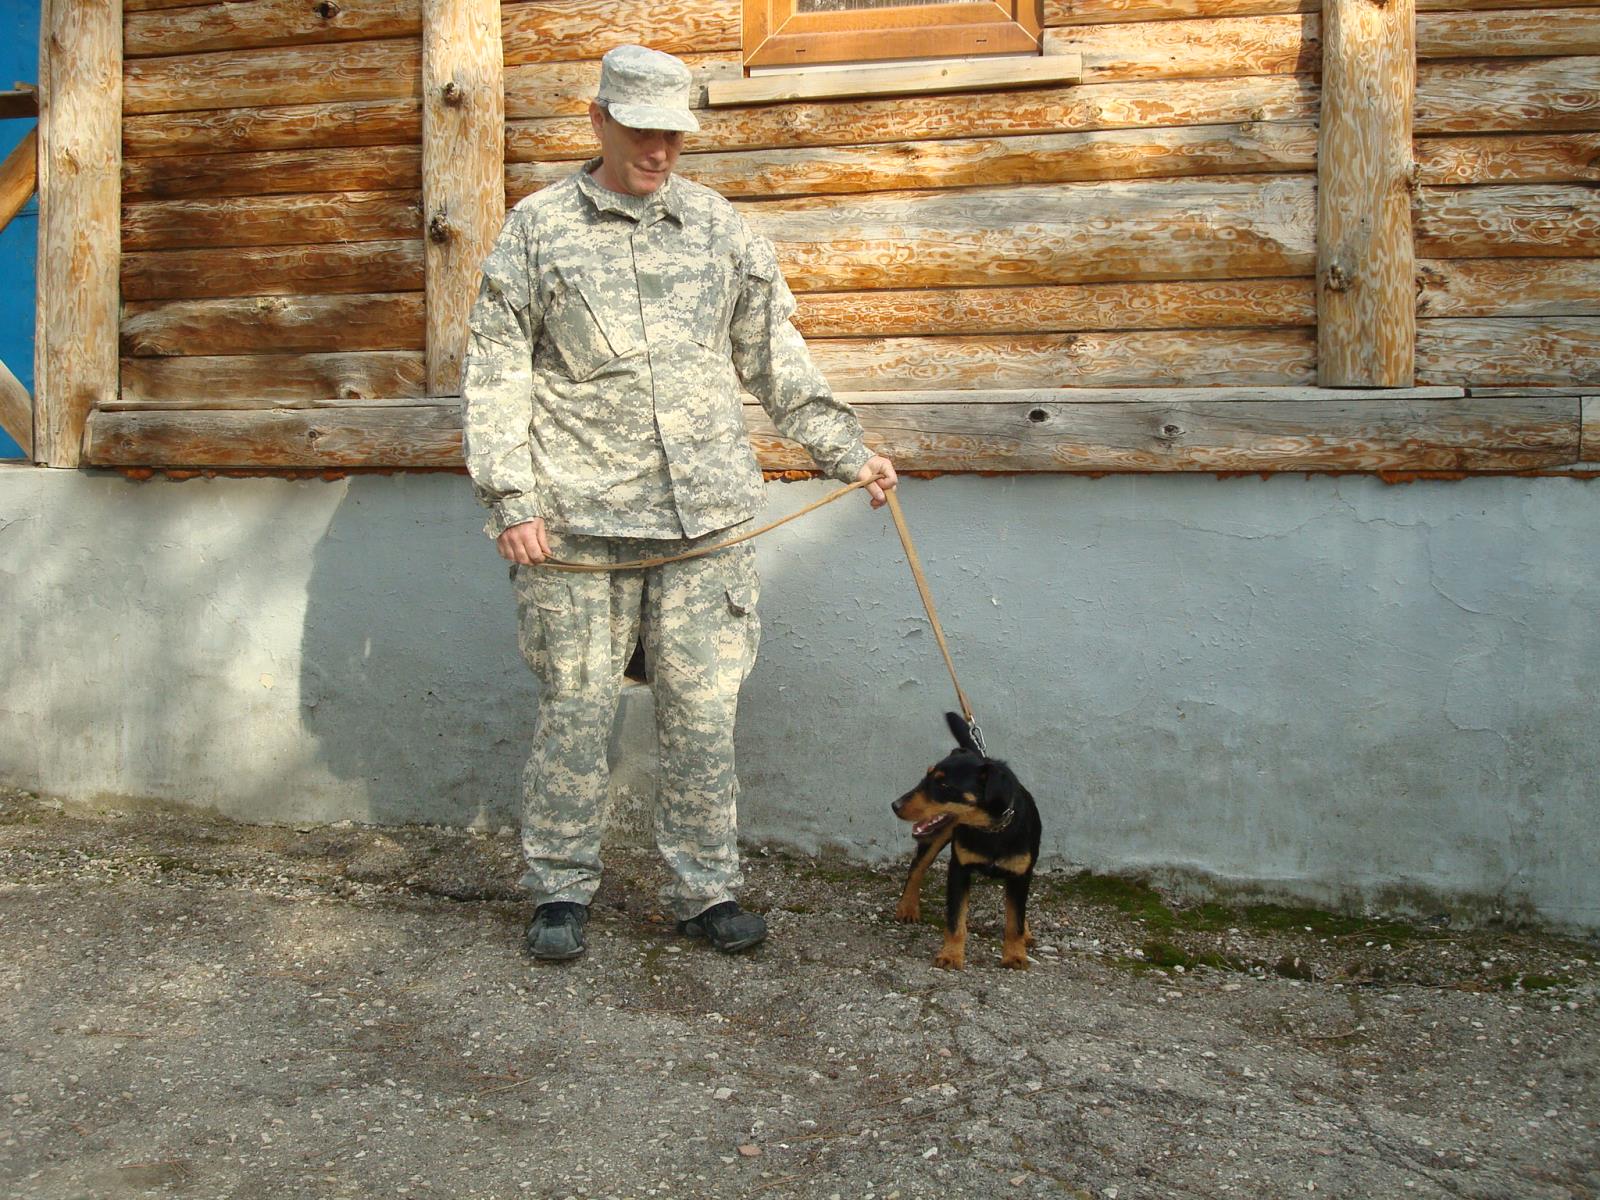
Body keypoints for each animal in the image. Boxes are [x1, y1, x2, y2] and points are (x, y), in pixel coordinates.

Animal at [891, 712, 1042, 970]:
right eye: (926, 776)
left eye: (943, 784)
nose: (895, 805)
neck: (991, 830)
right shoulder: (958, 870)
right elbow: (955, 920)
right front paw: (951, 955)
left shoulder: (1021, 874)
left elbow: (1015, 921)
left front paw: (1015, 955)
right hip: (935, 838)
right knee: (916, 869)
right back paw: (908, 907)